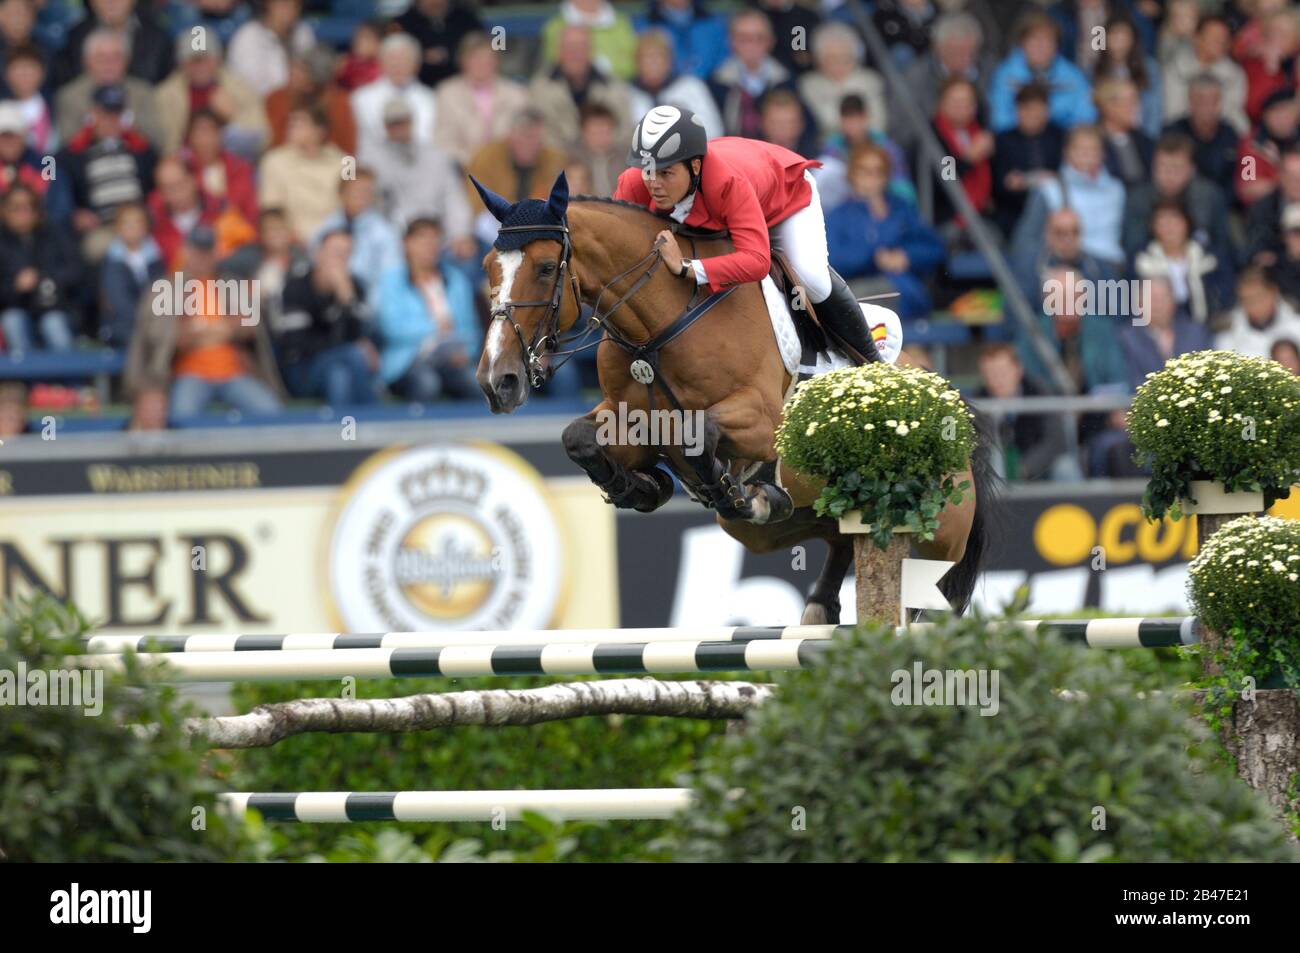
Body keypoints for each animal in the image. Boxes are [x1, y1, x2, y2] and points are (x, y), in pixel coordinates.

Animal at [473, 171, 987, 624]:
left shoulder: (763, 419)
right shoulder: (634, 423)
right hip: (784, 525)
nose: (498, 381)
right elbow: (577, 437)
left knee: (929, 593)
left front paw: (730, 487)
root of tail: (945, 402)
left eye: (545, 268)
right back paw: (814, 596)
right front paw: (641, 488)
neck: (660, 327)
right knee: (837, 538)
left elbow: (701, 430)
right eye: (487, 268)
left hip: (937, 532)